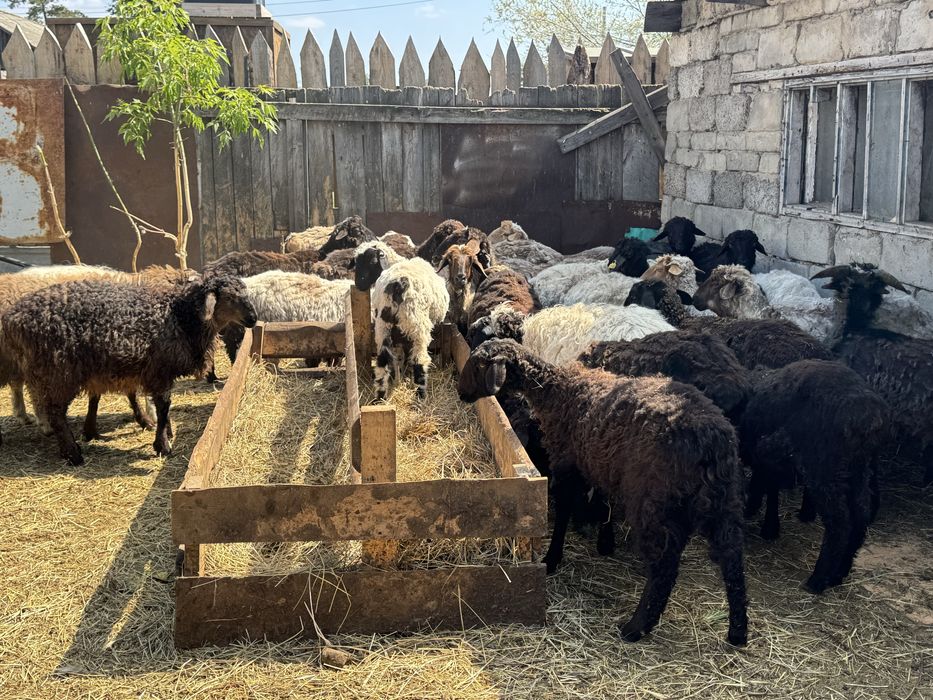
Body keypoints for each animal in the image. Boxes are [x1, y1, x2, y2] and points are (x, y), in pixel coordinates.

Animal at [2, 275, 256, 465]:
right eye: (230, 297)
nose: (253, 319)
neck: (180, 317)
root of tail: (13, 318)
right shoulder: (159, 369)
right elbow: (163, 406)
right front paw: (163, 445)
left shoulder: (153, 372)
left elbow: (157, 405)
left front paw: (165, 433)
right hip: (59, 371)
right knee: (55, 412)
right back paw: (73, 454)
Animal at [372, 257, 450, 400]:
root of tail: (398, 285)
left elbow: (399, 358)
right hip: (417, 326)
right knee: (420, 361)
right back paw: (421, 395)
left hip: (382, 327)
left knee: (382, 361)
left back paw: (380, 397)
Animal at [458, 339, 748, 646]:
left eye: (477, 365)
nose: (461, 392)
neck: (556, 391)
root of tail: (712, 439)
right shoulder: (599, 463)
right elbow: (603, 501)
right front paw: (604, 542)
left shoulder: (566, 464)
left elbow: (563, 512)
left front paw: (552, 558)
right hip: (725, 498)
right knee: (732, 557)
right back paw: (738, 631)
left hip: (653, 500)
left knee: (664, 566)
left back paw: (636, 627)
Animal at [740, 360, 889, 592]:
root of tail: (868, 416)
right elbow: (770, 488)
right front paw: (769, 525)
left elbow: (765, 486)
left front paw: (762, 519)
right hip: (858, 468)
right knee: (861, 515)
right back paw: (839, 573)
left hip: (825, 467)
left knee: (839, 523)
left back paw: (818, 581)